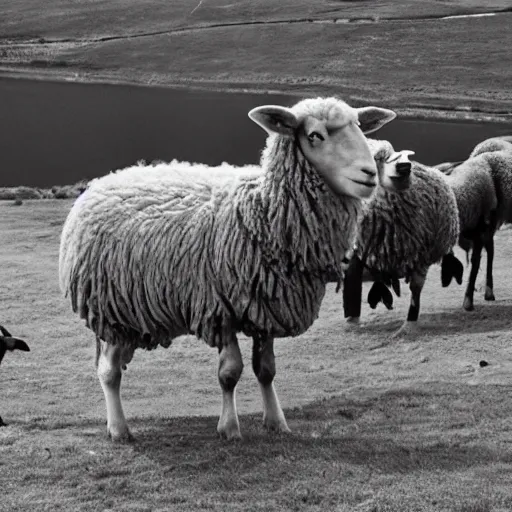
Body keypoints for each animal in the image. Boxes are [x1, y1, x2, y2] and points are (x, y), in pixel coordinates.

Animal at [59, 96, 396, 440]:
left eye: (360, 127)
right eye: (315, 135)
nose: (370, 173)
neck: (263, 212)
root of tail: (106, 179)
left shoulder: (266, 307)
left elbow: (266, 370)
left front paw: (276, 422)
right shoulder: (219, 309)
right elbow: (230, 373)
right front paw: (230, 428)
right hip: (110, 308)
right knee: (109, 372)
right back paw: (118, 429)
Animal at [342, 138, 458, 338]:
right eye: (377, 158)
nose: (404, 166)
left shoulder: (421, 256)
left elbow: (416, 291)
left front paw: (409, 326)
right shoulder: (360, 248)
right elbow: (352, 279)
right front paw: (351, 321)